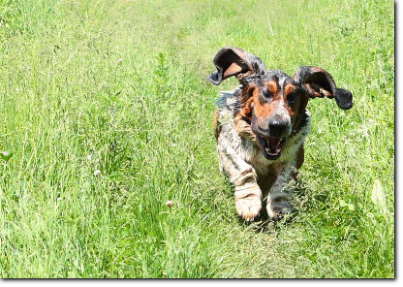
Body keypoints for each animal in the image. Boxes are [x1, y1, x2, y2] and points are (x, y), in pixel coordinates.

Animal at [208, 47, 354, 223]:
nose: (278, 125)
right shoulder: (227, 148)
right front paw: (248, 203)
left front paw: (279, 206)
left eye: (292, 97)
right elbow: (244, 170)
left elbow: (283, 180)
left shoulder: (294, 157)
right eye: (266, 93)